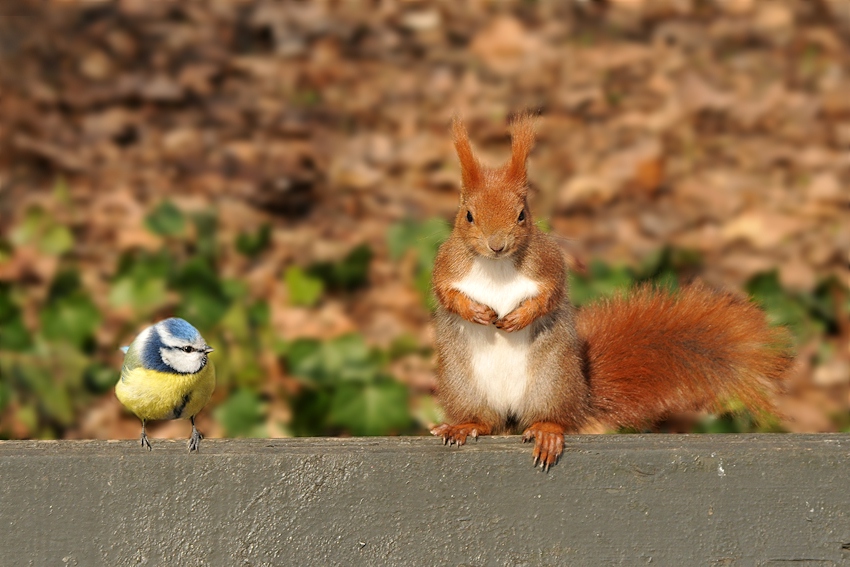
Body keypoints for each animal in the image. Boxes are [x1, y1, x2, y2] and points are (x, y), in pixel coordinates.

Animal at [430, 115, 796, 470]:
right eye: (468, 215)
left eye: (522, 215)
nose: (497, 245)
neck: (497, 267)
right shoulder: (447, 265)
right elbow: (446, 293)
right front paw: (474, 311)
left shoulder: (548, 264)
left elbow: (550, 296)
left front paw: (521, 316)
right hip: (463, 385)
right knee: (484, 420)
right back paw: (464, 426)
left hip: (552, 381)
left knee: (556, 418)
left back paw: (547, 432)